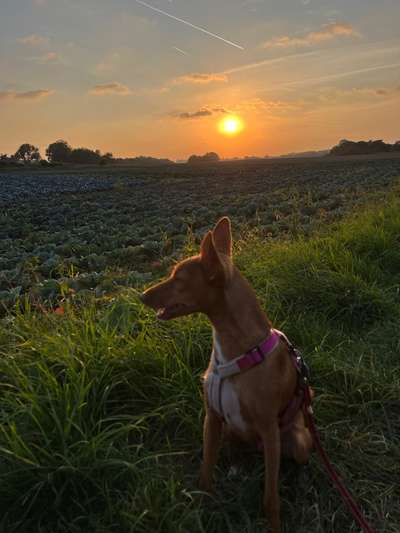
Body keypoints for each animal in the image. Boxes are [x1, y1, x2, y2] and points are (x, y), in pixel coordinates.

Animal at [142, 217, 314, 532]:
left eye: (178, 278)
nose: (142, 295)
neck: (235, 352)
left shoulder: (270, 430)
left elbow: (270, 498)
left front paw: (274, 524)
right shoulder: (211, 418)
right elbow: (205, 472)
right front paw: (202, 507)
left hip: (296, 439)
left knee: (295, 459)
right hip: (231, 428)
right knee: (235, 449)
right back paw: (236, 467)